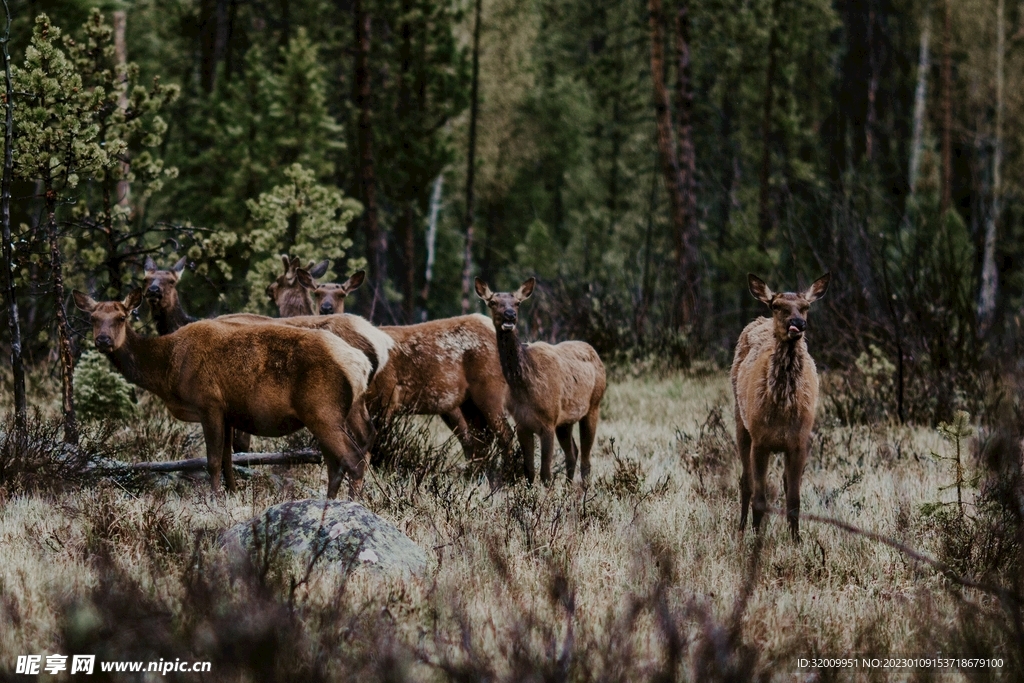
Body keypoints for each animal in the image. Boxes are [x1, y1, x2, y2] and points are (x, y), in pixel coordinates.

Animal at [73, 288, 376, 498]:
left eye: (121, 317)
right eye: (93, 318)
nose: (103, 340)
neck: (167, 369)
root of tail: (361, 363)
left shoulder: (209, 403)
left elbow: (213, 461)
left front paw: (215, 498)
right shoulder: (230, 413)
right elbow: (230, 461)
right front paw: (232, 493)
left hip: (322, 410)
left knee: (352, 460)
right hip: (348, 411)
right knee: (344, 458)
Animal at [475, 277, 606, 486]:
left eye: (517, 303)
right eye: (493, 302)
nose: (510, 315)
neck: (525, 387)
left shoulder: (548, 421)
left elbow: (545, 474)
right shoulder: (522, 424)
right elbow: (529, 471)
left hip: (594, 404)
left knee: (586, 459)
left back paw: (582, 488)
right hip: (565, 421)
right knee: (573, 452)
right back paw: (568, 487)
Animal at [732, 272, 830, 541]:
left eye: (806, 307)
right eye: (776, 306)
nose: (797, 323)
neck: (783, 408)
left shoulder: (799, 442)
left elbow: (794, 499)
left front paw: (796, 540)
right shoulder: (760, 440)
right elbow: (759, 498)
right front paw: (756, 539)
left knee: (784, 483)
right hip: (740, 421)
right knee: (745, 482)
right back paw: (741, 529)